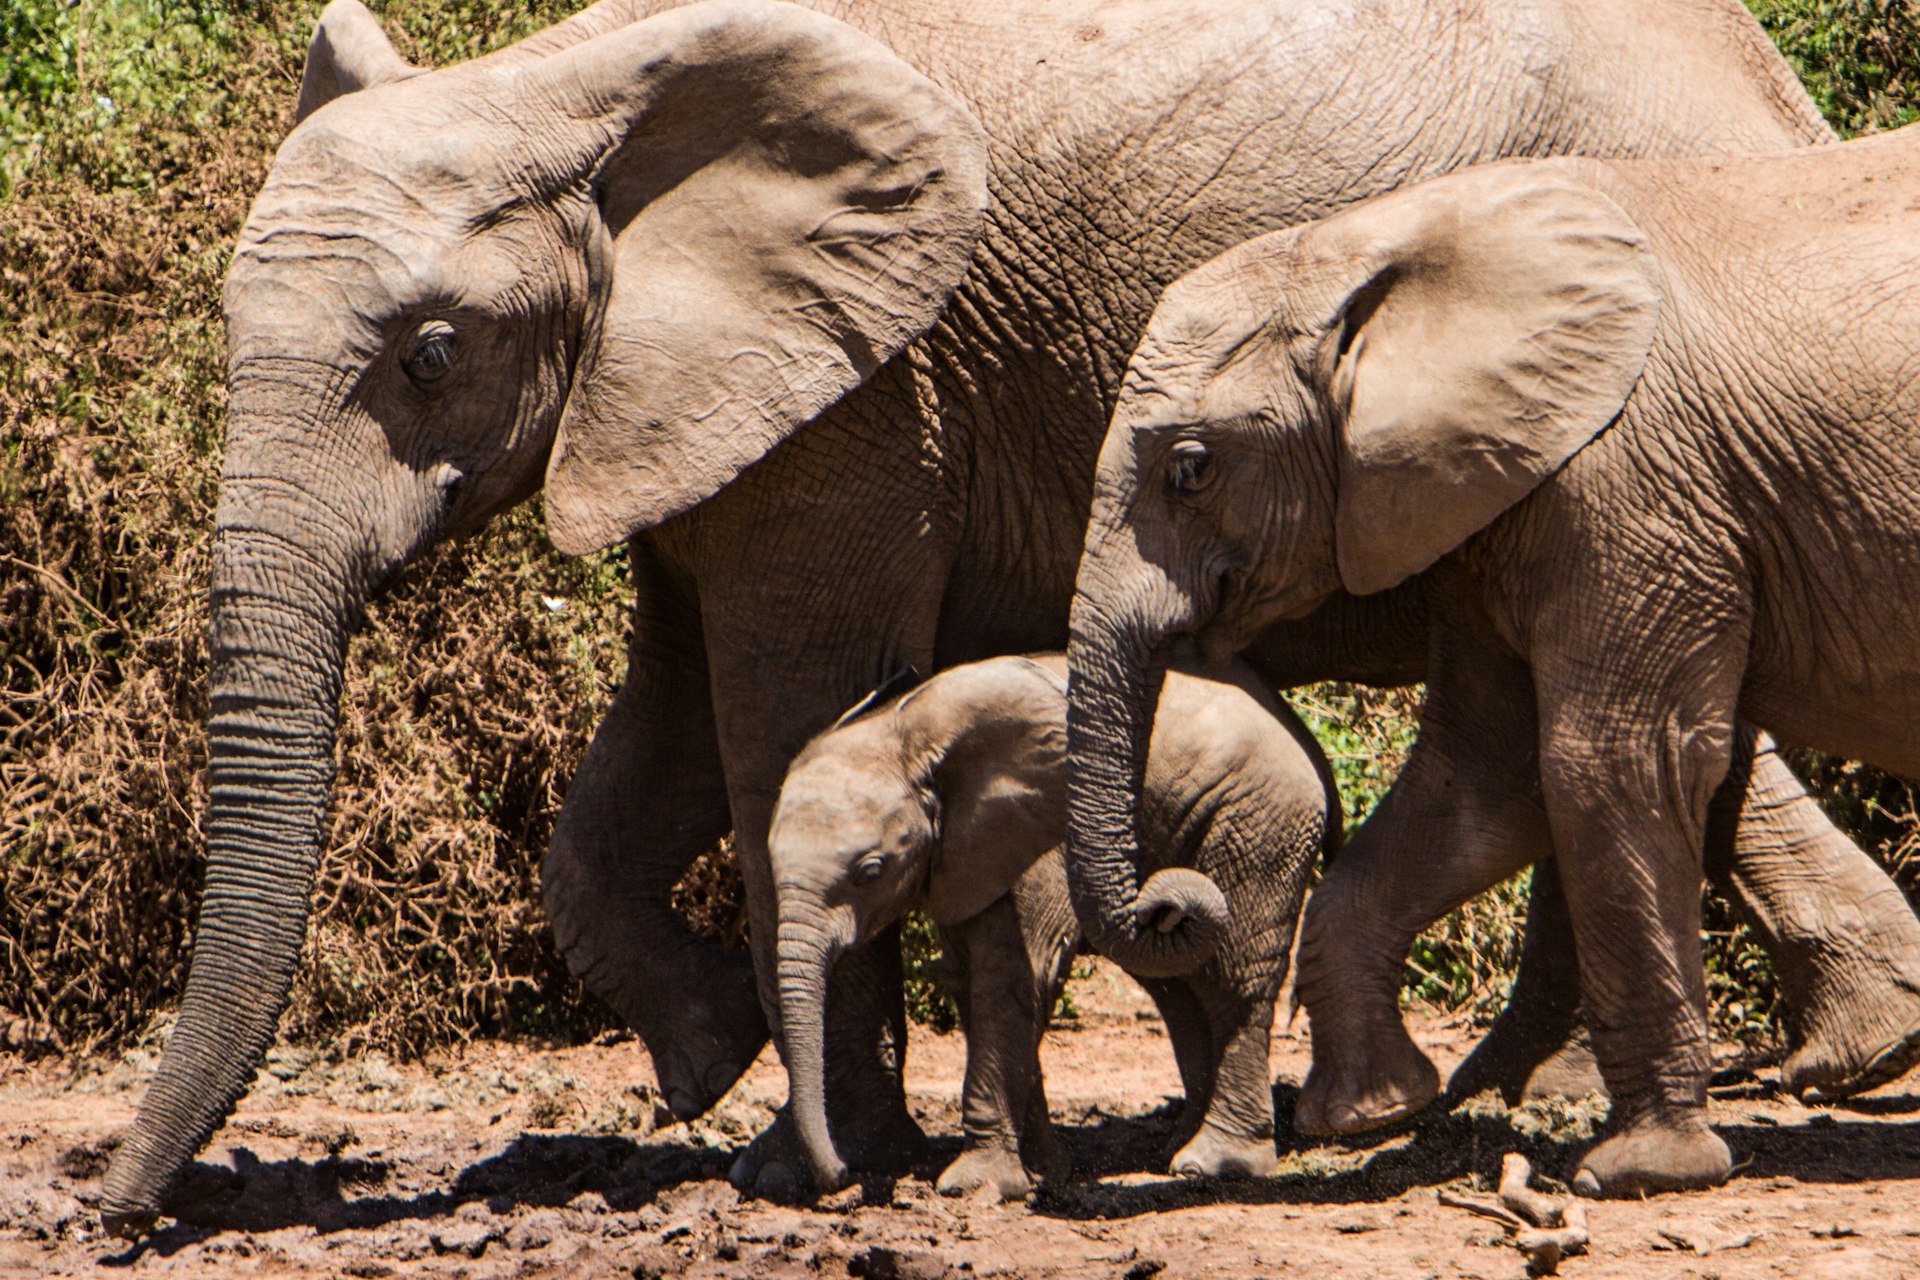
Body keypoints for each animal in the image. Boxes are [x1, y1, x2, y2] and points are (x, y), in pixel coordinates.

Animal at [764, 656, 1336, 1205]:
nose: (843, 1176)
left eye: (870, 871)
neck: (903, 734)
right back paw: (1177, 1149)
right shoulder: (963, 854)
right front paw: (1044, 1172)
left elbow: (1011, 979)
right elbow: (972, 984)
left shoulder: (1040, 838)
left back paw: (1213, 1162)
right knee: (1180, 988)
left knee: (1232, 979)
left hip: (1259, 821)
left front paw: (978, 1186)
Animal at [1067, 124, 1920, 1197]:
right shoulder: (1495, 497)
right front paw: (1369, 1114)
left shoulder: (1626, 481)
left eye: (1190, 468)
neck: (1372, 248)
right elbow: (1481, 776)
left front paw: (1639, 1172)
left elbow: (1607, 761)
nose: (1172, 901)